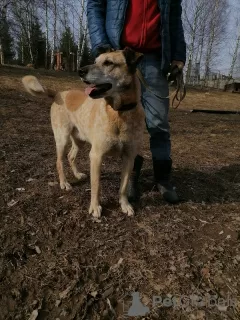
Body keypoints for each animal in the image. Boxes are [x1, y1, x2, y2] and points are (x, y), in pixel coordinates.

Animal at [22, 47, 145, 218]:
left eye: (108, 63)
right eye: (95, 60)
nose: (80, 71)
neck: (119, 113)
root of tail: (58, 93)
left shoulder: (129, 157)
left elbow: (123, 186)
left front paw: (125, 205)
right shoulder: (96, 155)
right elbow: (96, 186)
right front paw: (95, 207)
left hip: (78, 141)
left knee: (71, 156)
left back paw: (77, 175)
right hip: (62, 138)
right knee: (59, 161)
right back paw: (64, 183)